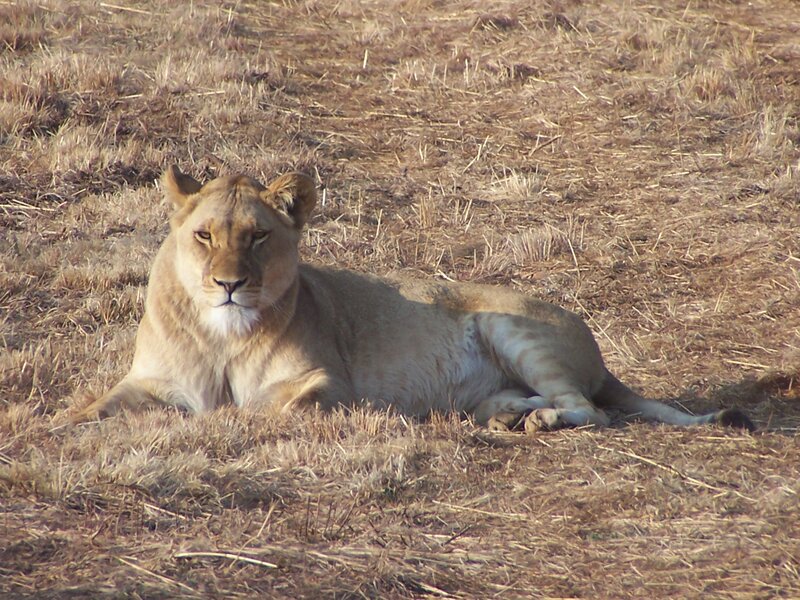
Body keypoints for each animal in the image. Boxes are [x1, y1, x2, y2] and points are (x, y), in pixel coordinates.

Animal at [69, 167, 755, 433]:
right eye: (204, 235)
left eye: (259, 236)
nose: (230, 284)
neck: (221, 334)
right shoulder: (150, 381)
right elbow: (94, 407)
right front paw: (52, 428)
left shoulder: (330, 382)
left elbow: (278, 408)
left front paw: (233, 419)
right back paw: (507, 417)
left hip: (511, 327)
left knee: (590, 409)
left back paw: (538, 420)